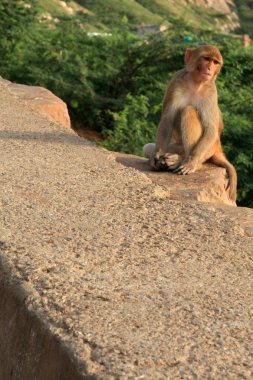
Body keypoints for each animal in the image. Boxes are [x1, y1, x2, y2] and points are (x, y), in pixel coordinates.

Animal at [143, 43, 238, 202]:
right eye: (206, 59)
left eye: (215, 62)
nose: (210, 69)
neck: (196, 83)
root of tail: (218, 146)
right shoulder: (175, 82)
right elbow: (167, 119)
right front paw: (156, 156)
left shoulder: (211, 92)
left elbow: (210, 129)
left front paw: (191, 162)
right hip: (178, 146)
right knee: (147, 147)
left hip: (209, 149)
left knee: (188, 111)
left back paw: (183, 161)